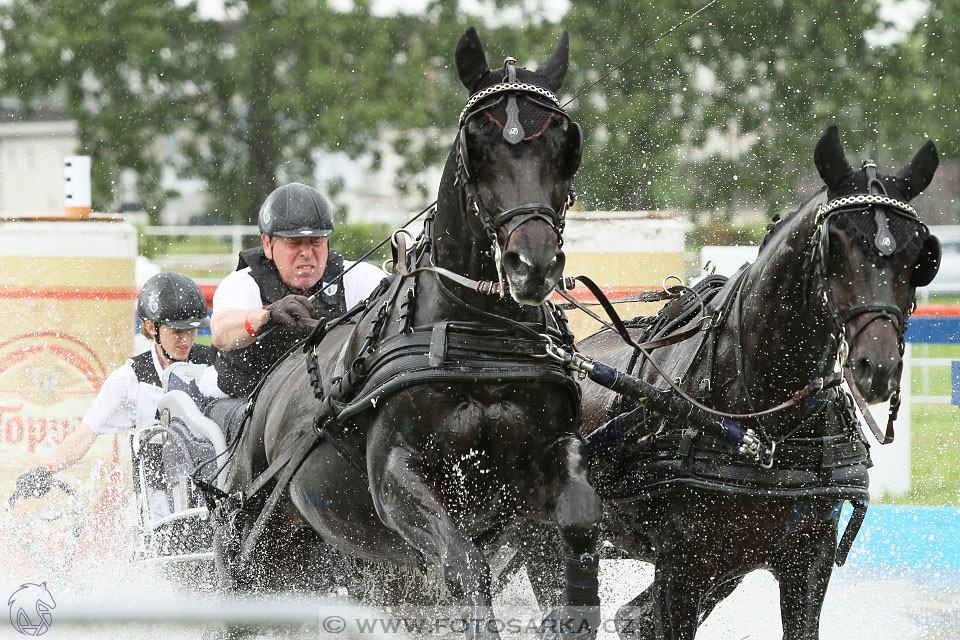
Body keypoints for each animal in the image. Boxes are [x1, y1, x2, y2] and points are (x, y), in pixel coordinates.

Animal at [218, 27, 600, 636]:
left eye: (566, 143)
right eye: (476, 143)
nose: (533, 264)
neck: (478, 339)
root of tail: (266, 390)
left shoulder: (547, 458)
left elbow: (581, 528)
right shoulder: (396, 475)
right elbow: (465, 563)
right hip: (256, 541)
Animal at [516, 125, 936, 640]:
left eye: (919, 255)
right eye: (833, 245)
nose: (877, 365)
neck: (761, 426)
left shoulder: (806, 562)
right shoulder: (683, 567)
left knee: (632, 617)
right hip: (544, 537)